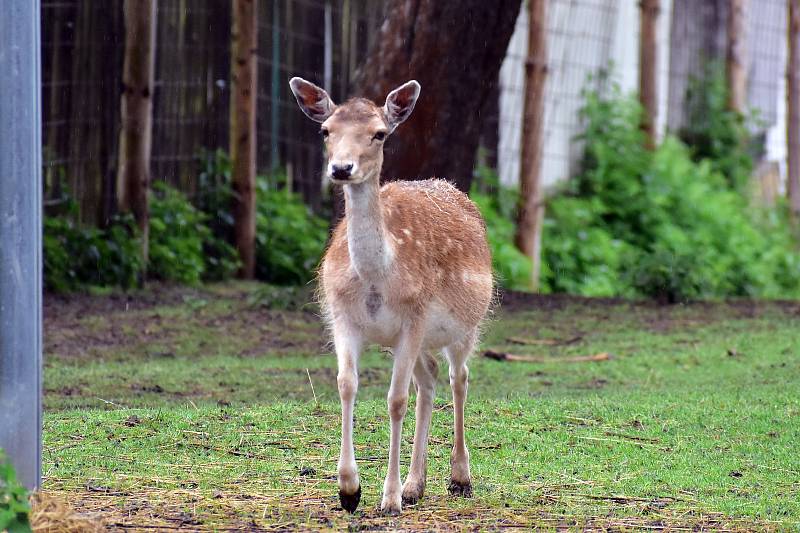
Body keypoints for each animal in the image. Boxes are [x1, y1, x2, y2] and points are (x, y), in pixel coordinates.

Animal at [290, 77, 494, 512]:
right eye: (325, 130)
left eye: (379, 133)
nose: (341, 168)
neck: (375, 279)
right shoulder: (344, 318)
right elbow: (346, 384)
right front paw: (350, 490)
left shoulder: (414, 318)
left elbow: (395, 400)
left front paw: (388, 499)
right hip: (413, 343)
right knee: (429, 381)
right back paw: (416, 486)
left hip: (465, 326)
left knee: (459, 377)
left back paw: (459, 478)